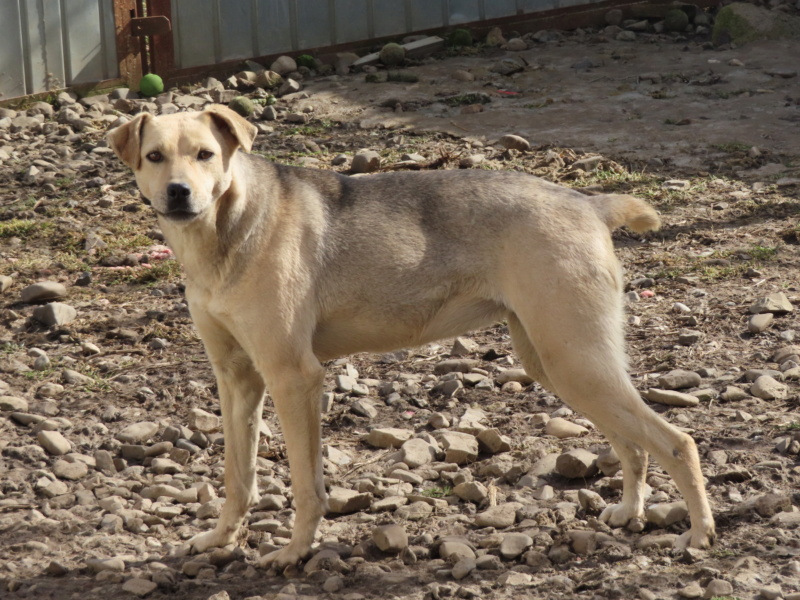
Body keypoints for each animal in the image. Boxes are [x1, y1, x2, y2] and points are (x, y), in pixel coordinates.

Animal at [109, 105, 716, 568]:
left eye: (206, 155)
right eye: (155, 156)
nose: (179, 193)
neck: (226, 230)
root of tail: (590, 202)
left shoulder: (292, 377)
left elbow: (306, 484)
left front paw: (296, 552)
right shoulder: (237, 380)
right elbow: (237, 476)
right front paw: (221, 539)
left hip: (574, 359)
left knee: (676, 442)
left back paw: (699, 534)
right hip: (559, 363)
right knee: (632, 443)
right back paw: (632, 512)